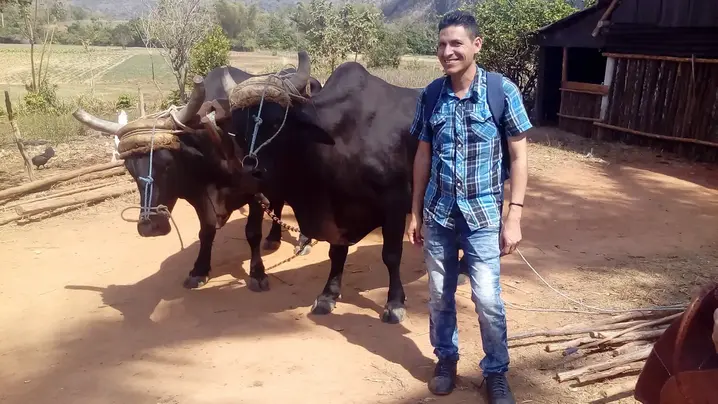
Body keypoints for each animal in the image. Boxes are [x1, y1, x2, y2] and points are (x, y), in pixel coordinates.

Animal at [72, 65, 321, 292]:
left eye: (166, 162)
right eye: (130, 169)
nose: (149, 226)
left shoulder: (254, 193)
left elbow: (252, 232)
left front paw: (257, 274)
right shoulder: (199, 196)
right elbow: (206, 232)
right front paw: (199, 270)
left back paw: (304, 240)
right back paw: (274, 238)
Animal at [219, 51, 428, 324]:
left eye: (276, 122)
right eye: (239, 129)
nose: (252, 173)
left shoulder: (394, 202)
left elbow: (391, 255)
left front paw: (394, 303)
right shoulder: (338, 211)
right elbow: (337, 253)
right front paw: (328, 295)